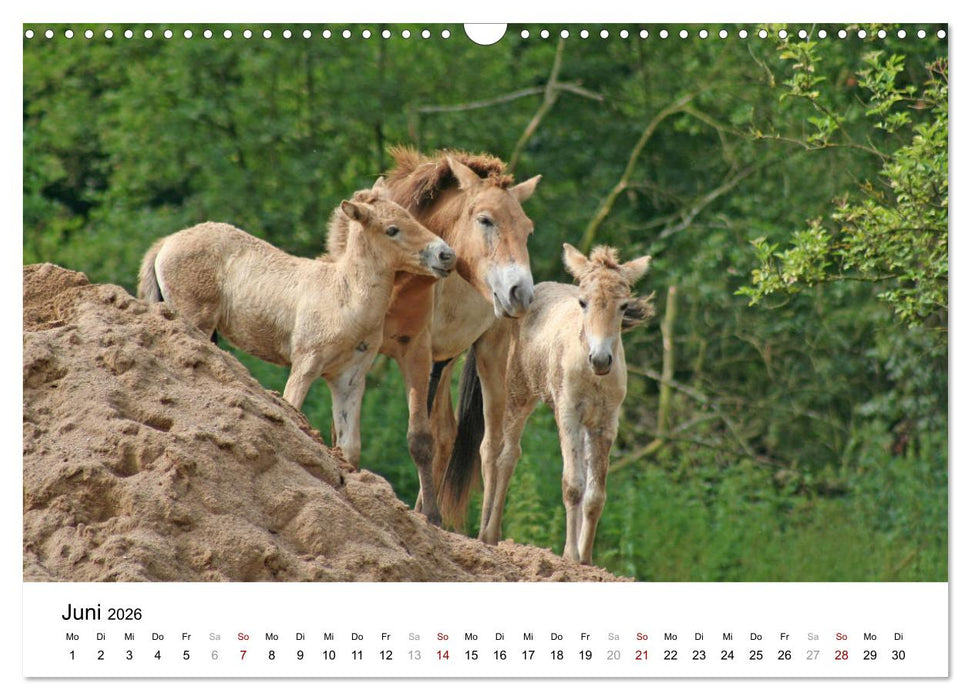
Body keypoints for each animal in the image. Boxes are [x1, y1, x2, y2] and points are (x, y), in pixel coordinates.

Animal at [137, 185, 455, 466]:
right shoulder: (305, 364)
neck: (345, 296)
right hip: (195, 320)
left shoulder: (349, 378)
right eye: (392, 229)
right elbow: (293, 410)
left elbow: (349, 448)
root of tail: (166, 242)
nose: (446, 255)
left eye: (410, 216)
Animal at [328, 147, 541, 525]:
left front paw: (431, 516)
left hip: (489, 353)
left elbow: (420, 438)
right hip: (443, 362)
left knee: (493, 449)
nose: (521, 293)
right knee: (447, 433)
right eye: (485, 220)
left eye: (527, 231)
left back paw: (484, 533)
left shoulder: (417, 353)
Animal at [442, 243, 654, 565]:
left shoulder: (605, 424)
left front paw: (586, 560)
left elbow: (595, 495)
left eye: (623, 306)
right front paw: (570, 555)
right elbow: (573, 485)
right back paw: (487, 534)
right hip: (512, 396)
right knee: (497, 453)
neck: (591, 374)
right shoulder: (568, 416)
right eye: (583, 302)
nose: (600, 359)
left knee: (509, 456)